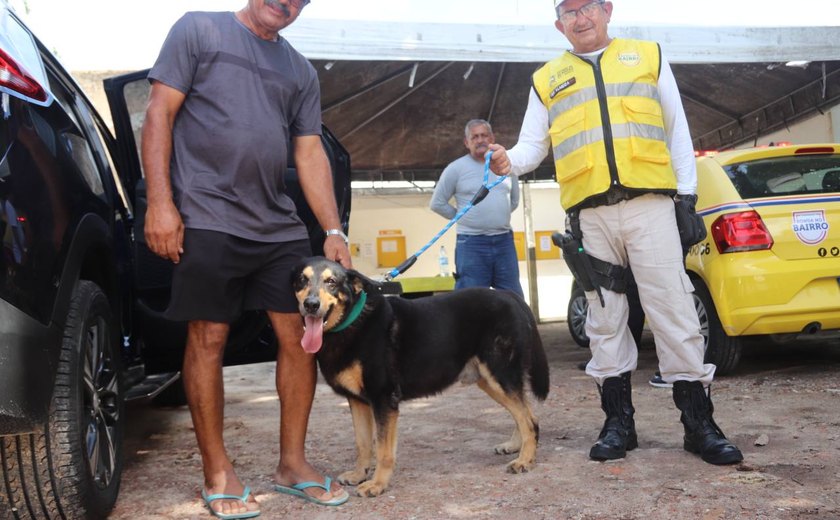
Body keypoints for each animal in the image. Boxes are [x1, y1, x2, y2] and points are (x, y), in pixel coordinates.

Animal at [292, 258, 548, 498]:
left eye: (331, 282)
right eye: (303, 280)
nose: (311, 305)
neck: (352, 321)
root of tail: (509, 295)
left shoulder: (383, 401)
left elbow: (383, 451)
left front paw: (377, 484)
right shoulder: (357, 402)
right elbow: (363, 444)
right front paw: (358, 474)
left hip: (500, 376)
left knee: (530, 420)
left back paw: (524, 460)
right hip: (490, 381)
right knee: (525, 414)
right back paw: (515, 446)